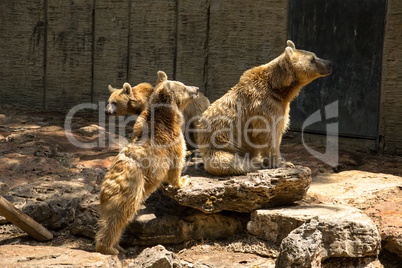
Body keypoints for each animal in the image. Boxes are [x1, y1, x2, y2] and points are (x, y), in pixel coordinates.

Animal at [96, 71, 199, 255]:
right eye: (184, 86)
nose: (197, 88)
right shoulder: (172, 144)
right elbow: (177, 163)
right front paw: (183, 180)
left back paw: (116, 245)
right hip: (132, 187)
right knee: (120, 216)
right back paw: (109, 248)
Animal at [198, 39, 332, 176]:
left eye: (314, 55)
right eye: (312, 59)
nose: (330, 63)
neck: (279, 89)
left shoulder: (281, 106)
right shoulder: (264, 106)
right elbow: (268, 134)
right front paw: (284, 163)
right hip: (222, 146)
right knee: (233, 162)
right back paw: (254, 164)